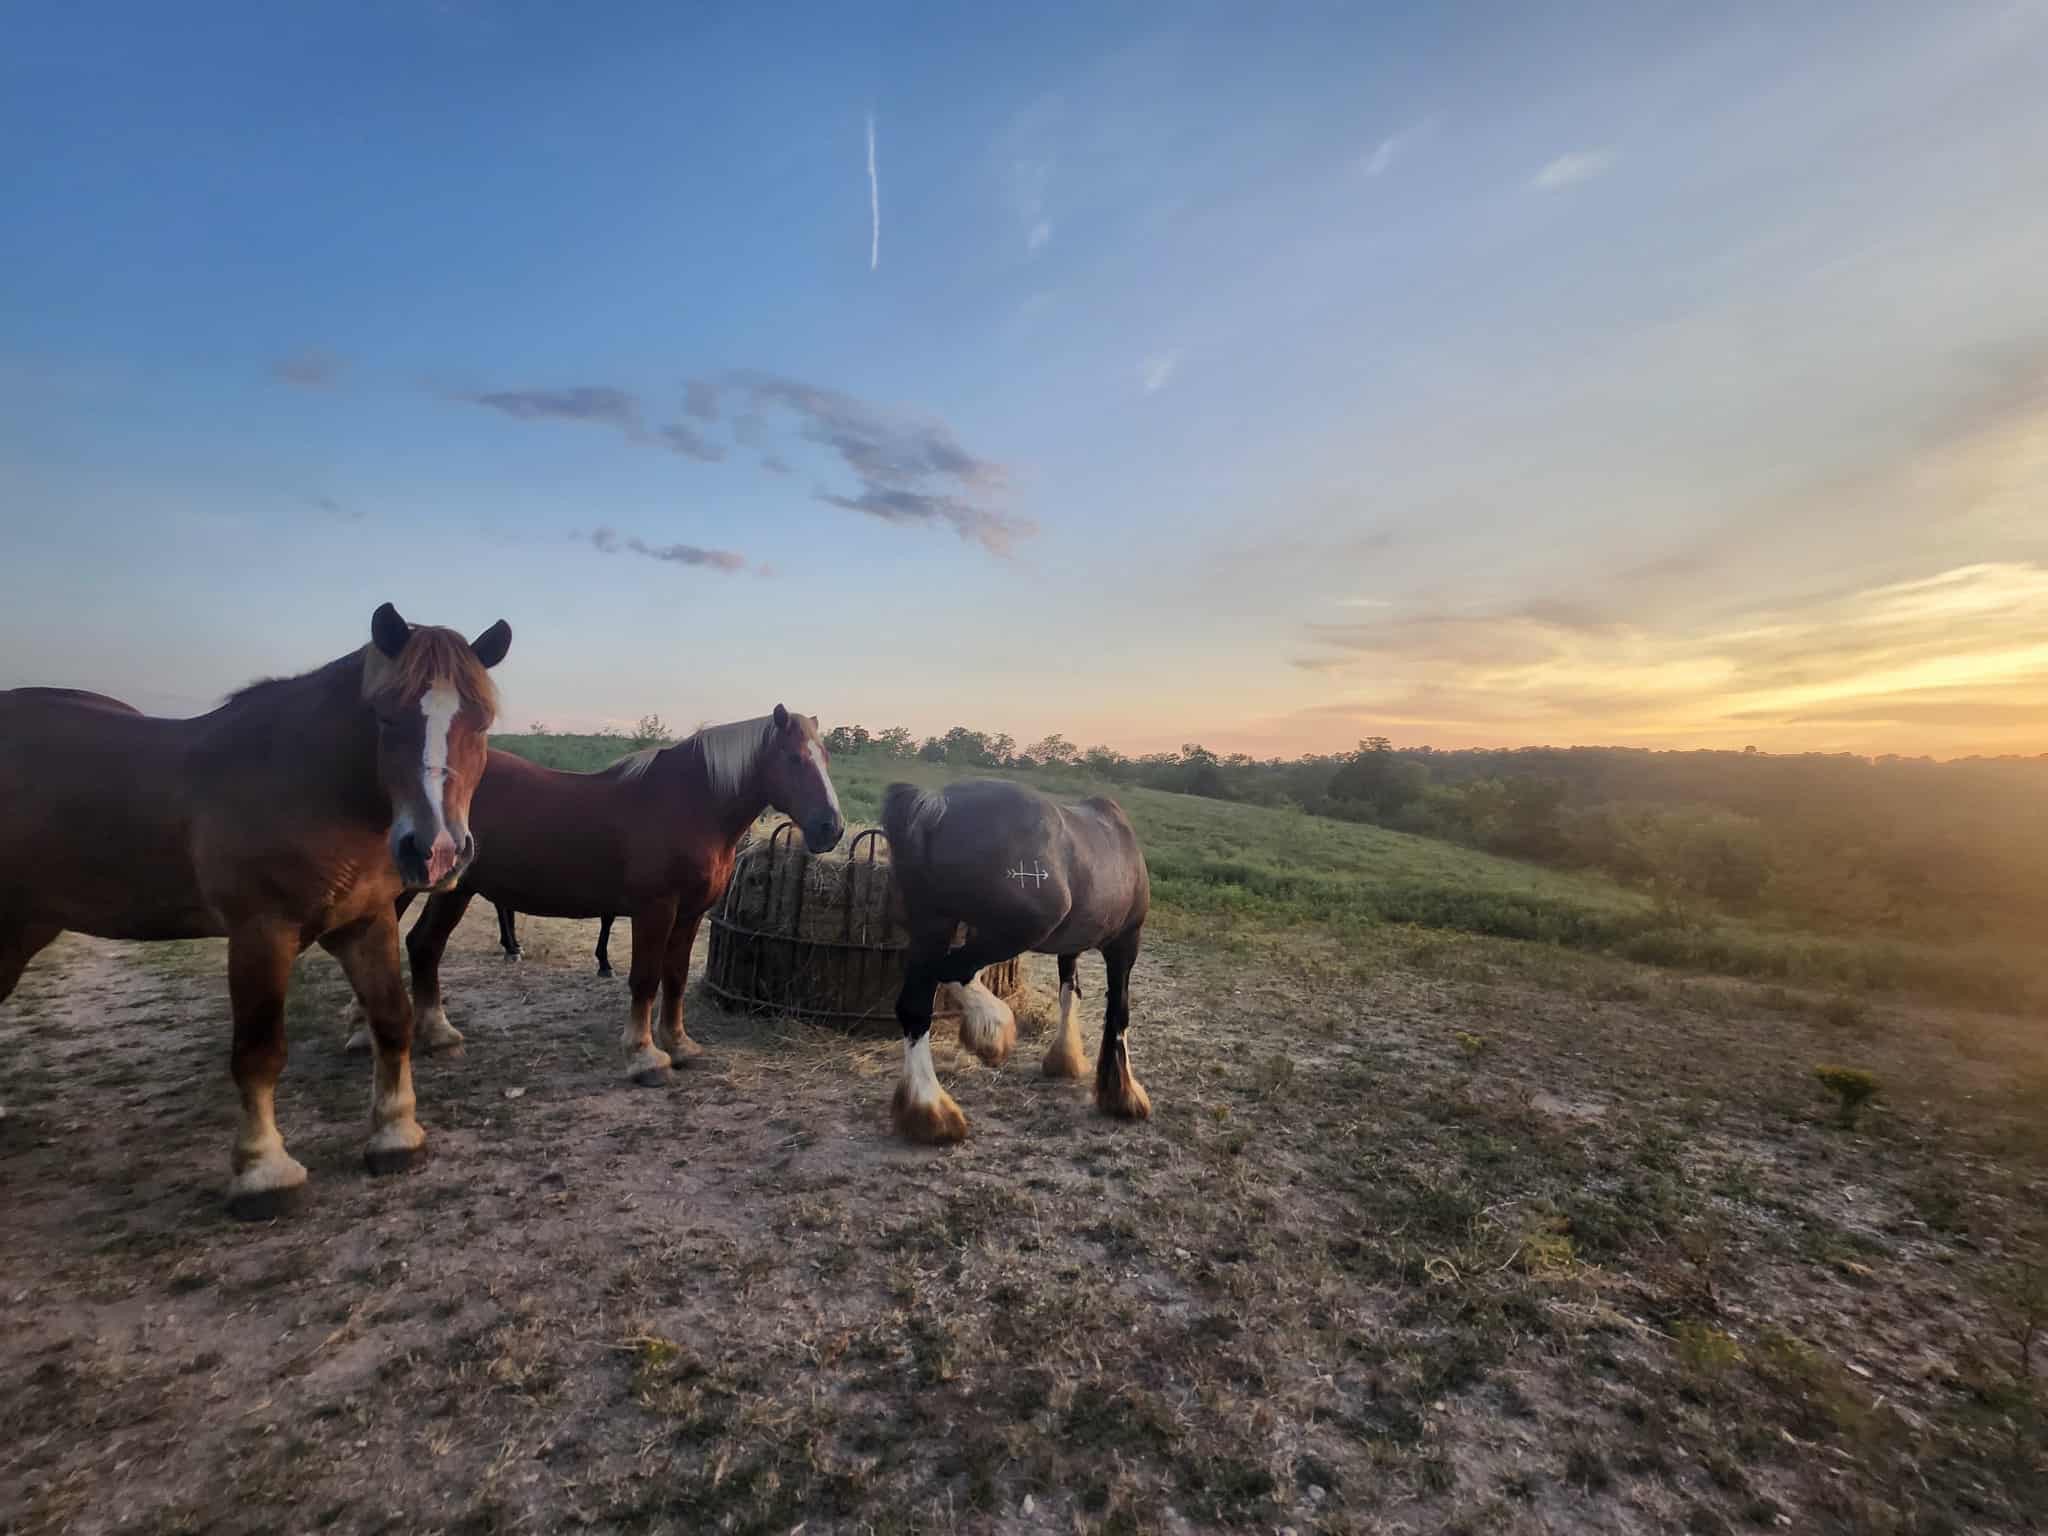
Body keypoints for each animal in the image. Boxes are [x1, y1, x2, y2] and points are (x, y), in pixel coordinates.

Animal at [0, 603, 512, 1218]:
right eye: (386, 716)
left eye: (480, 721)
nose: (435, 851)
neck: (309, 785)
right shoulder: (260, 934)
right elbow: (259, 1052)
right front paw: (264, 1171)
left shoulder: (365, 922)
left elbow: (392, 1019)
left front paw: (395, 1136)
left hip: (22, 926)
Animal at [386, 707, 843, 1083]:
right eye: (794, 758)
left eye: (826, 758)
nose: (831, 828)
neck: (691, 804)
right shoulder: (655, 909)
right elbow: (645, 978)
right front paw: (645, 1057)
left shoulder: (691, 912)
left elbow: (675, 976)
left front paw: (679, 1045)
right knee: (422, 943)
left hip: (450, 889)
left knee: (418, 944)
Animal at [880, 778, 1152, 1143]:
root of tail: (936, 804)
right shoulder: (1125, 944)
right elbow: (1118, 1013)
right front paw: (1123, 1095)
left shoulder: (1071, 946)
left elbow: (1070, 993)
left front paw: (1065, 1059)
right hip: (1013, 931)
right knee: (952, 972)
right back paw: (992, 1031)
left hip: (935, 925)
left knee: (916, 1006)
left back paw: (930, 1110)